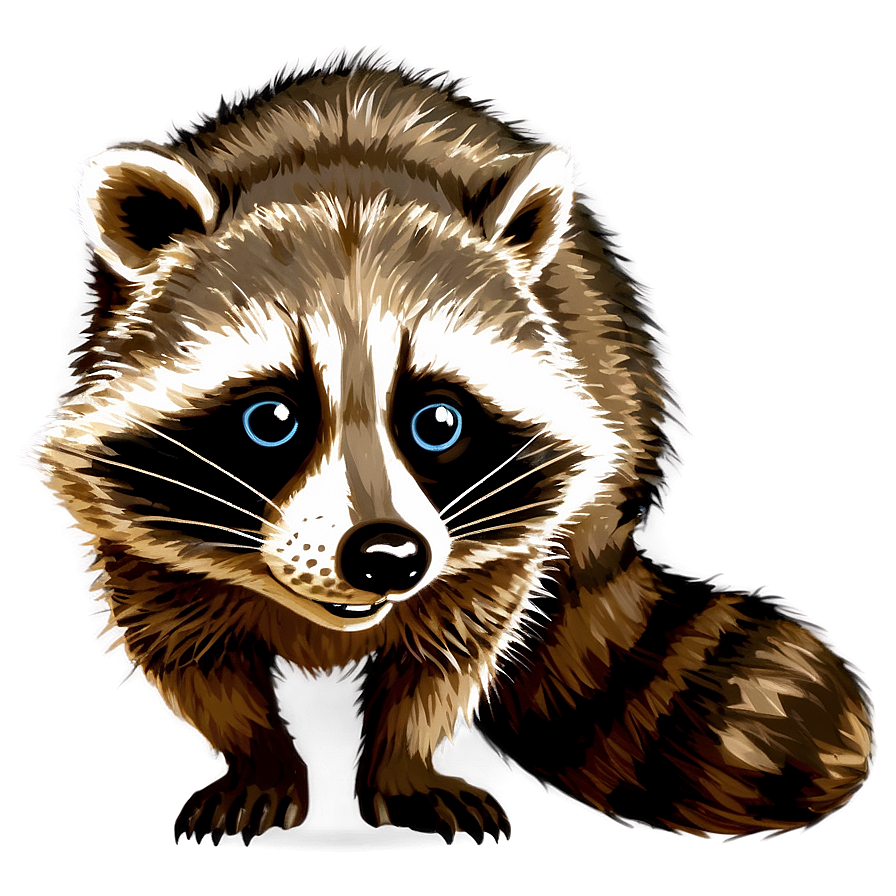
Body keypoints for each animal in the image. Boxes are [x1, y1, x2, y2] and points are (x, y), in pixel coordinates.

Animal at [35, 57, 872, 845]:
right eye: (271, 420)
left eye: (437, 422)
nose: (387, 557)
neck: (342, 172)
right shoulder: (142, 542)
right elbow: (192, 659)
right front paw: (258, 756)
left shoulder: (498, 545)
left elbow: (449, 658)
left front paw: (403, 759)